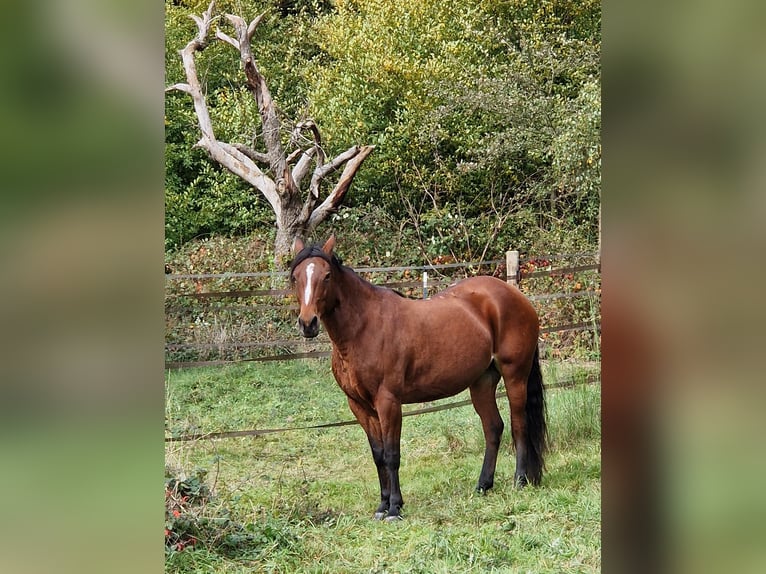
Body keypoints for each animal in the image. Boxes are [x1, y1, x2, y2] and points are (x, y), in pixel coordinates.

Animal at [292, 236, 548, 524]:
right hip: (482, 382)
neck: (364, 328)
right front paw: (382, 506)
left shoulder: (389, 403)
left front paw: (394, 508)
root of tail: (516, 296)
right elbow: (378, 455)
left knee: (519, 425)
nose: (308, 323)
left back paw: (520, 481)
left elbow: (392, 454)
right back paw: (483, 485)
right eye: (295, 277)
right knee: (493, 428)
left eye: (326, 276)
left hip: (515, 375)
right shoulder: (359, 406)